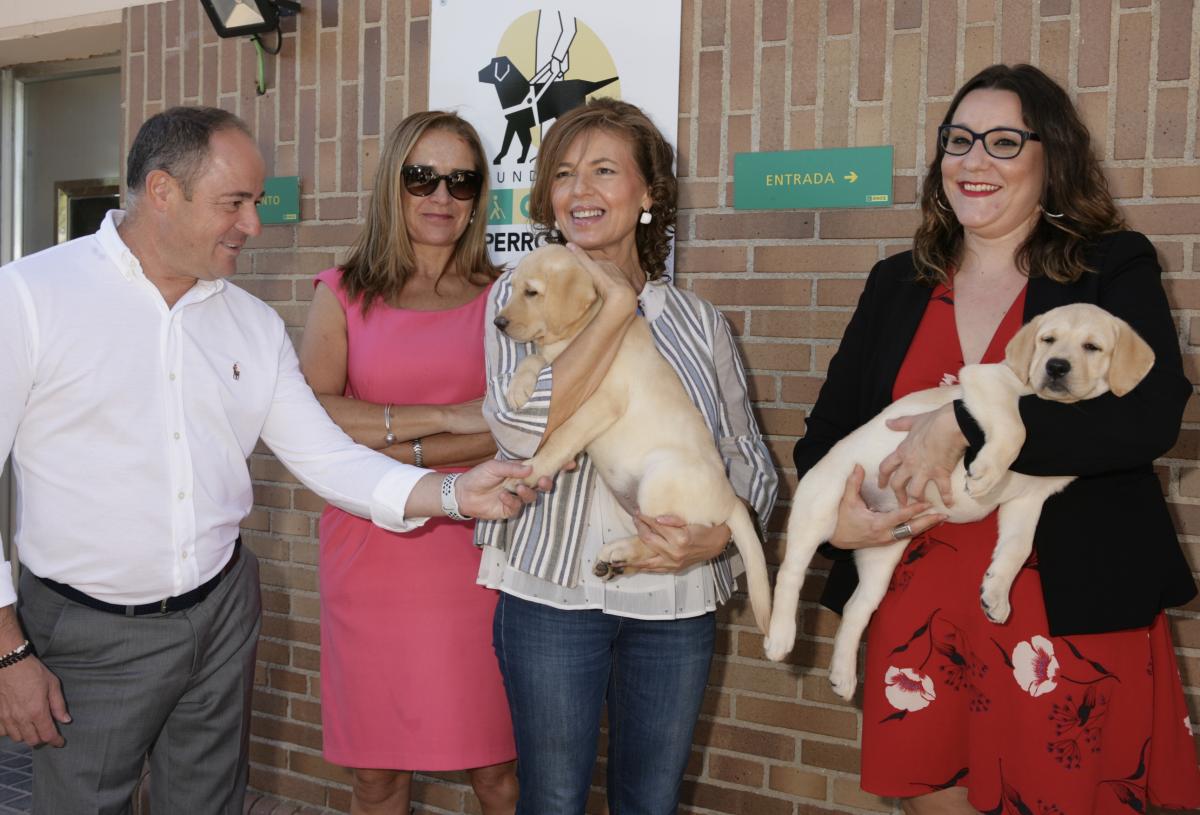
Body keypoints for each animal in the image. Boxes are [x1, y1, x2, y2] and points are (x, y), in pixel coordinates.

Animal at [494, 246, 768, 633]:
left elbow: (560, 437)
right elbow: (534, 361)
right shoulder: (562, 371)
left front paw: (531, 472)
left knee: (662, 543)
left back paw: (618, 552)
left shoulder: (601, 401)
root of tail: (730, 501)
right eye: (514, 287)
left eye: (531, 292)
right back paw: (615, 564)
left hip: (660, 480)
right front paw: (519, 388)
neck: (584, 331)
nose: (498, 323)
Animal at [768, 302, 1152, 696]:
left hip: (882, 554)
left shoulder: (1028, 501)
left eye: (1092, 347)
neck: (1058, 408)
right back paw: (780, 638)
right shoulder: (988, 381)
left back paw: (843, 675)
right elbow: (1015, 425)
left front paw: (996, 593)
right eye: (1048, 340)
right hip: (821, 507)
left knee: (857, 607)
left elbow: (1017, 548)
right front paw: (985, 471)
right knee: (790, 572)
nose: (1056, 366)